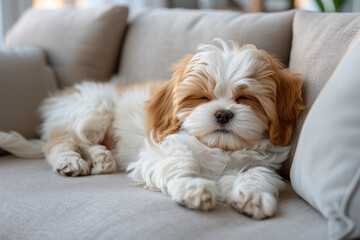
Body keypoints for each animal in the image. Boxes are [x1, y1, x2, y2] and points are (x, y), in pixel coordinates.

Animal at [38, 39, 304, 219]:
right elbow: (180, 164)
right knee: (60, 142)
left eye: (245, 98)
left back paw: (102, 158)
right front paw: (194, 187)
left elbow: (257, 174)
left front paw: (253, 195)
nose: (223, 114)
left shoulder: (261, 163)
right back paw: (70, 160)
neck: (221, 148)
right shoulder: (160, 152)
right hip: (93, 107)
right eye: (202, 97)